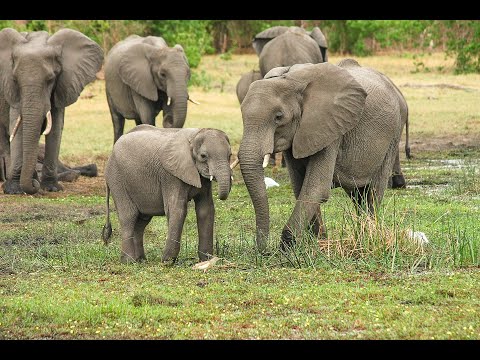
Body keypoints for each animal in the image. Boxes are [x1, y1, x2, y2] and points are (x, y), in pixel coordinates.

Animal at [0, 28, 103, 195]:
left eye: (50, 80)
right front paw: (14, 190)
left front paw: (51, 188)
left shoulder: (62, 85)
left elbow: (55, 129)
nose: (34, 186)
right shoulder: (11, 91)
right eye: (15, 80)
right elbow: (18, 127)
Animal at [103, 125, 234, 262]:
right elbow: (177, 210)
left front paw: (206, 260)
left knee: (141, 221)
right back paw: (129, 261)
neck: (194, 136)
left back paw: (141, 260)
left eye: (230, 155)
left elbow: (206, 209)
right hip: (117, 179)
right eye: (203, 156)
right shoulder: (170, 176)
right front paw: (167, 262)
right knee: (129, 216)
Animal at [238, 61, 406, 253]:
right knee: (358, 194)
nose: (264, 250)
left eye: (278, 117)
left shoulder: (331, 127)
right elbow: (300, 187)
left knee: (373, 191)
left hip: (393, 134)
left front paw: (287, 247)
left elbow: (316, 188)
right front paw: (318, 242)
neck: (290, 80)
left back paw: (368, 236)